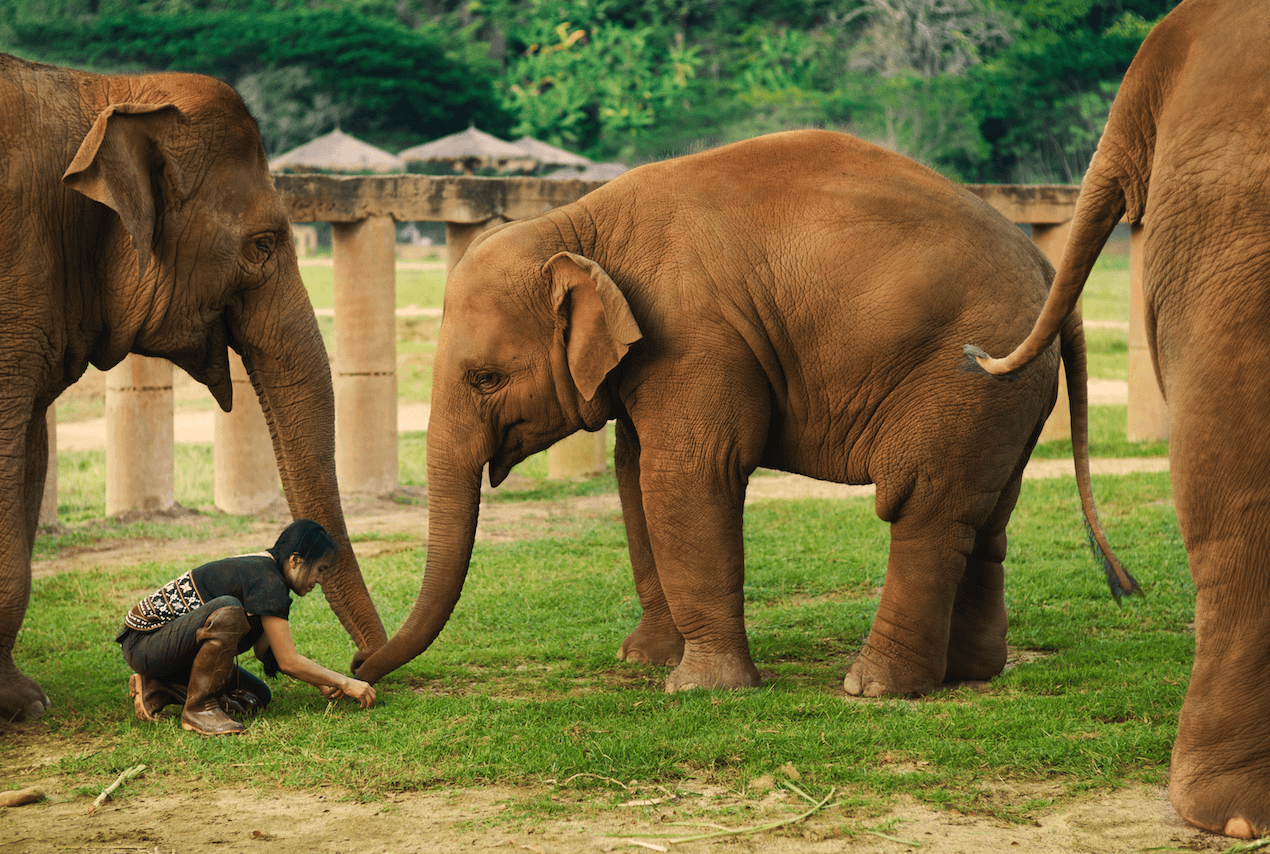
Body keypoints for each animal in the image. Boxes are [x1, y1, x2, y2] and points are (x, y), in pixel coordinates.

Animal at [354, 128, 1134, 698]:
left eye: (485, 378)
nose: (358, 673)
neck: (580, 223)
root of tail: (1049, 274)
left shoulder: (695, 335)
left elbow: (686, 474)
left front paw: (698, 690)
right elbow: (635, 474)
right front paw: (644, 662)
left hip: (961, 375)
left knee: (923, 504)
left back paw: (872, 688)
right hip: (1007, 391)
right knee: (986, 515)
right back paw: (968, 675)